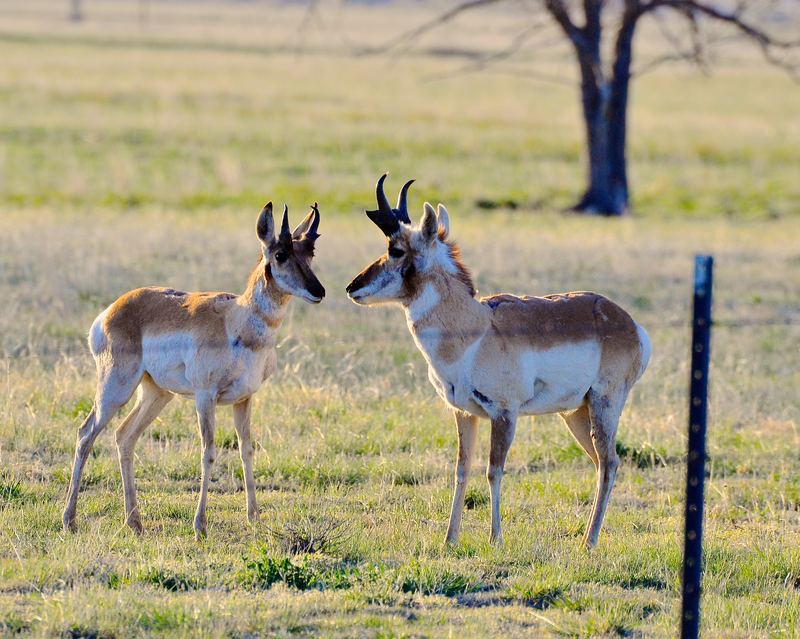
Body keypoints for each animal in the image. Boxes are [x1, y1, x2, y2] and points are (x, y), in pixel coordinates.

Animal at [63, 203, 325, 540]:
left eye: (310, 251)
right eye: (280, 254)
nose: (318, 291)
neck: (236, 320)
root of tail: (112, 310)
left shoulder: (244, 399)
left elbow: (246, 449)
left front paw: (254, 517)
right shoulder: (205, 396)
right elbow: (208, 451)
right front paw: (200, 525)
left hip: (157, 394)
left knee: (124, 436)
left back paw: (135, 522)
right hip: (115, 389)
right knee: (86, 434)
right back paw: (69, 520)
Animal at [346, 176, 651, 548]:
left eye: (396, 250)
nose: (351, 287)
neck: (476, 327)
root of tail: (626, 321)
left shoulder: (505, 414)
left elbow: (494, 471)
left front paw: (496, 539)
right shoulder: (464, 413)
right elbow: (462, 469)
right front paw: (450, 539)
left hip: (603, 405)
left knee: (608, 462)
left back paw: (588, 542)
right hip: (576, 413)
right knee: (602, 463)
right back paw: (585, 536)